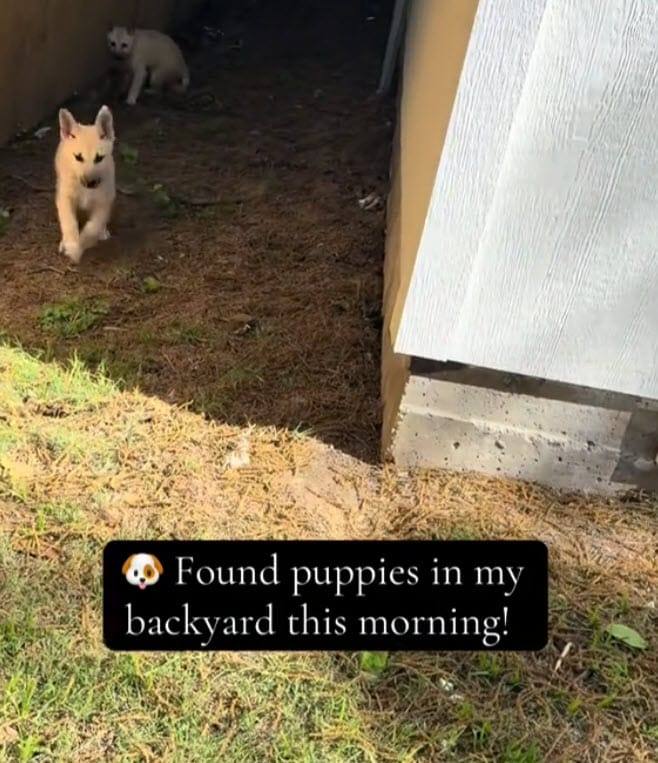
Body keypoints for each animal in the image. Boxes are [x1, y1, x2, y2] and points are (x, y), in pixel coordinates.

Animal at [54, 105, 116, 264]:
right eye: (78, 157)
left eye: (99, 158)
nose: (90, 183)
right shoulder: (65, 198)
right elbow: (68, 222)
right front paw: (72, 245)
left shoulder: (103, 201)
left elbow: (93, 226)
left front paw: (82, 243)